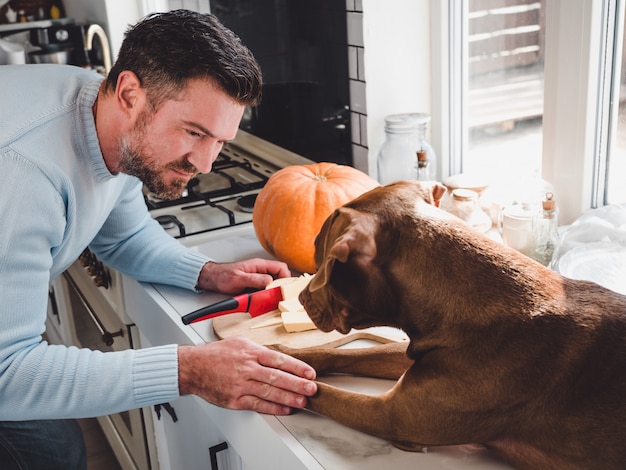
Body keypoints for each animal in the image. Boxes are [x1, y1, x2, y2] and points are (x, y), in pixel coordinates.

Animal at [280, 181, 624, 470]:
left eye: (321, 257)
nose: (301, 297)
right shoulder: (413, 358)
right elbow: (344, 353)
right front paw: (284, 354)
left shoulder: (390, 415)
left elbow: (321, 392)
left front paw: (283, 381)